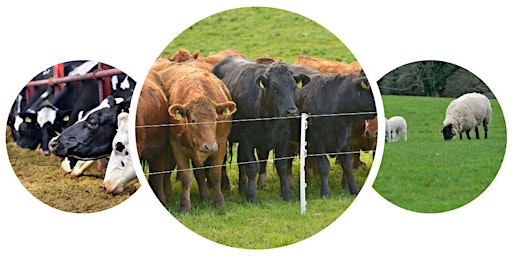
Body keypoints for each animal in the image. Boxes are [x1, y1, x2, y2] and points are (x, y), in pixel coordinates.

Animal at [159, 62, 237, 212]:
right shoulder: (176, 148)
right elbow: (186, 177)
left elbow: (215, 174)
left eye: (216, 119)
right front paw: (184, 206)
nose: (210, 146)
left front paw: (219, 202)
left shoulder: (221, 145)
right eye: (193, 120)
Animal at [211, 55, 310, 202]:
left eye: (294, 87)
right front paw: (251, 196)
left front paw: (287, 194)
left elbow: (281, 165)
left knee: (240, 162)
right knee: (223, 161)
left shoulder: (283, 138)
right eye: (274, 88)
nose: (292, 111)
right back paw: (225, 185)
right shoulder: (247, 140)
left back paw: (242, 187)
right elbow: (252, 166)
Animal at [286, 65, 374, 197]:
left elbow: (347, 165)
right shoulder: (317, 140)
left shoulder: (345, 138)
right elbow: (324, 166)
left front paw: (354, 189)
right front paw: (325, 192)